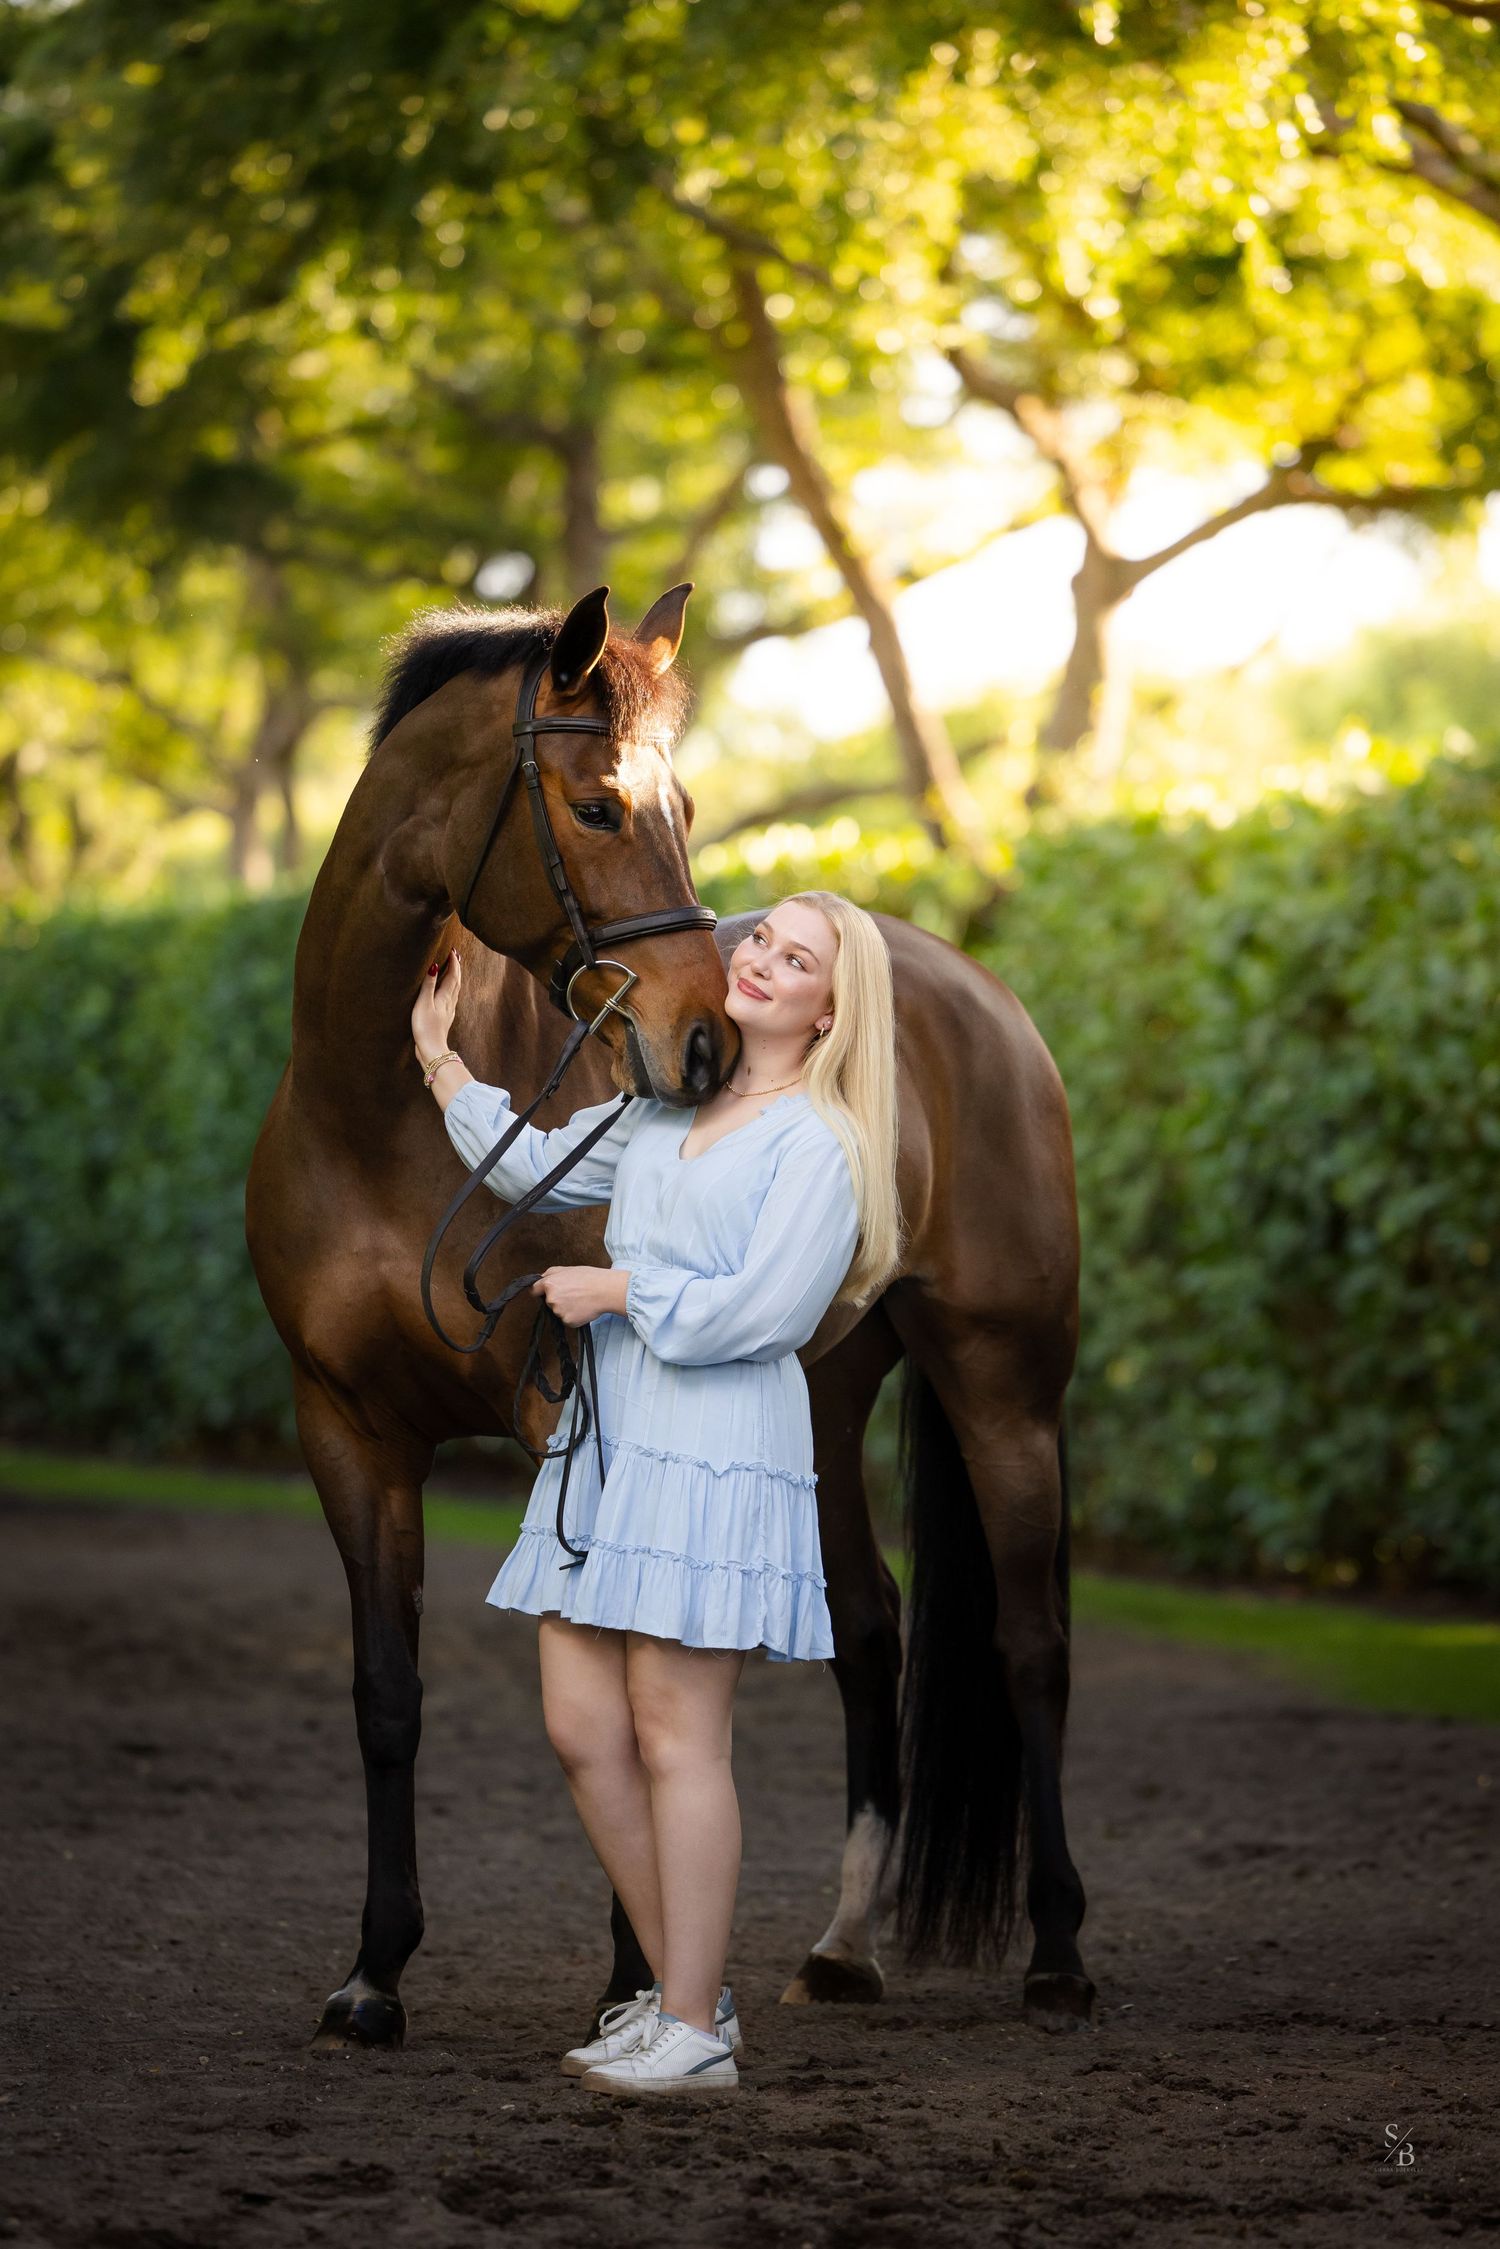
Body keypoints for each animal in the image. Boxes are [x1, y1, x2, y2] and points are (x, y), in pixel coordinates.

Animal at [244, 583, 1096, 2050]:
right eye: (596, 806)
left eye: (684, 804)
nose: (704, 1045)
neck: (374, 1118)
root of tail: (971, 989)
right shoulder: (345, 1429)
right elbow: (386, 1694)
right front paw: (374, 1973)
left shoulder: (567, 1415)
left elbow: (618, 1667)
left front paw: (629, 1977)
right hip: (821, 1396)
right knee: (871, 1626)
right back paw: (844, 1946)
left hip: (1004, 1388)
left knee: (1029, 1646)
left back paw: (1057, 1953)